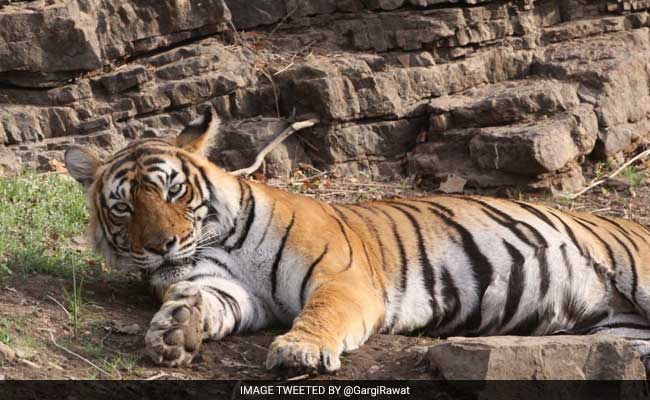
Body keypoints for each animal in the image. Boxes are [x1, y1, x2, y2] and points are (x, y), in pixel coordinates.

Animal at [62, 108, 650, 372]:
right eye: (124, 206)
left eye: (174, 190)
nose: (161, 246)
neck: (218, 241)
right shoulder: (238, 294)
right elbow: (205, 300)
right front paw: (176, 330)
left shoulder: (343, 279)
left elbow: (323, 313)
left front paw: (299, 350)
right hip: (621, 329)